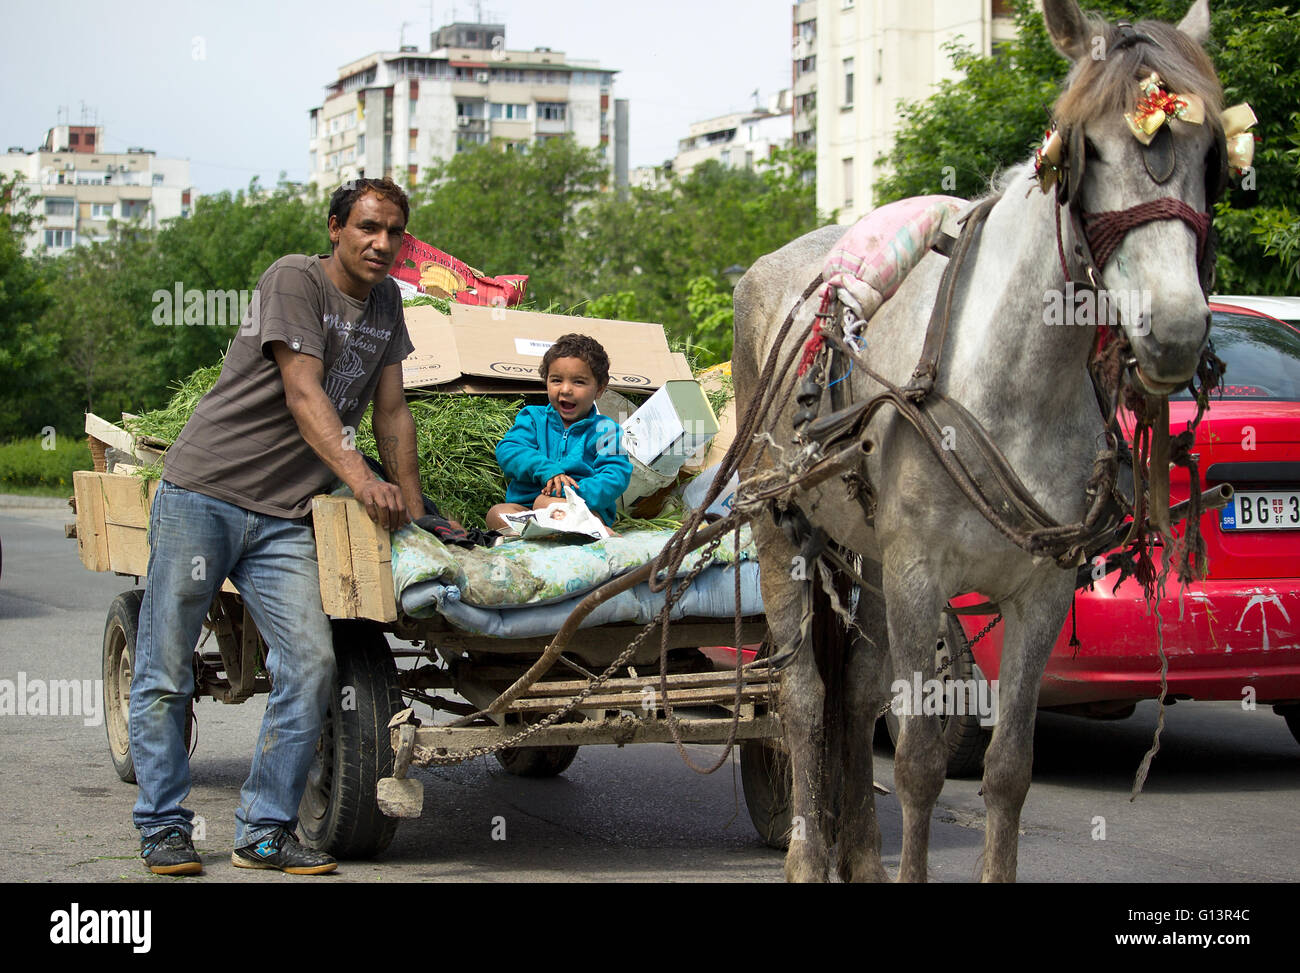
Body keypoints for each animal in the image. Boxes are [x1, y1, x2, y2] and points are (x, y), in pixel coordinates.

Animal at [733, 0, 1227, 879]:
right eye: (1091, 150)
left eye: (1212, 157)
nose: (1174, 331)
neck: (1014, 383)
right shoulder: (922, 574)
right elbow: (922, 760)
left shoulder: (1041, 592)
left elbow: (1009, 771)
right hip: (779, 524)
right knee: (805, 697)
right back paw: (807, 852)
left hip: (868, 550)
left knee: (856, 696)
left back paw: (861, 857)